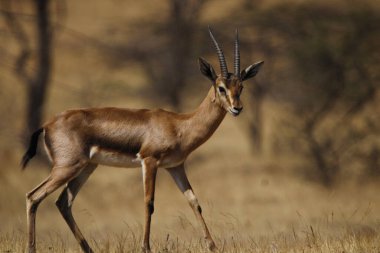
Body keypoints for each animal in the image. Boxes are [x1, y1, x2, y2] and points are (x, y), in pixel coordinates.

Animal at [21, 26, 264, 252]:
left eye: (241, 87)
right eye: (221, 88)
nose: (237, 108)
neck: (179, 125)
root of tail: (47, 124)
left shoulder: (175, 166)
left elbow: (194, 202)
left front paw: (213, 246)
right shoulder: (149, 161)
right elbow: (149, 202)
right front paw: (145, 247)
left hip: (87, 167)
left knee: (63, 202)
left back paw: (88, 249)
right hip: (67, 167)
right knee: (34, 196)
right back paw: (32, 248)